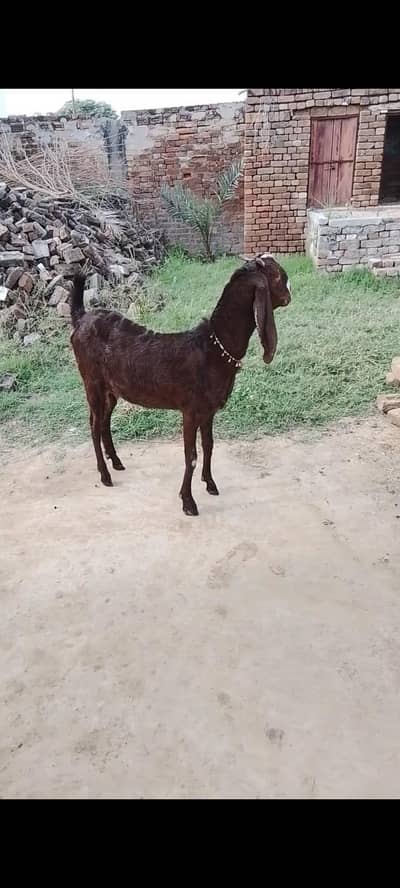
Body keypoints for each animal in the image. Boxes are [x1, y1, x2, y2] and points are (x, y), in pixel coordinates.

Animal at [70, 254, 291, 516]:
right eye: (278, 276)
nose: (289, 293)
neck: (213, 349)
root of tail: (82, 318)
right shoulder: (190, 410)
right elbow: (191, 455)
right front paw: (188, 502)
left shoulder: (208, 411)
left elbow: (209, 445)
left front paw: (210, 483)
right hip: (91, 382)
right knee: (94, 425)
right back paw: (105, 475)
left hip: (111, 389)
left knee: (104, 421)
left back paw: (116, 463)